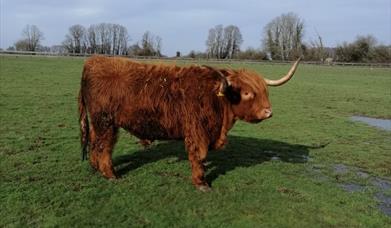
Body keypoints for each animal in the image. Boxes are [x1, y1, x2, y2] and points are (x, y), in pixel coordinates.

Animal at [78, 56, 302, 191]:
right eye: (246, 93)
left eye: (266, 91)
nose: (268, 112)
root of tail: (93, 60)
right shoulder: (197, 131)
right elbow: (199, 156)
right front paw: (201, 183)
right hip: (105, 121)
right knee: (104, 146)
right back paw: (110, 174)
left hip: (100, 123)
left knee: (95, 142)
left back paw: (95, 167)